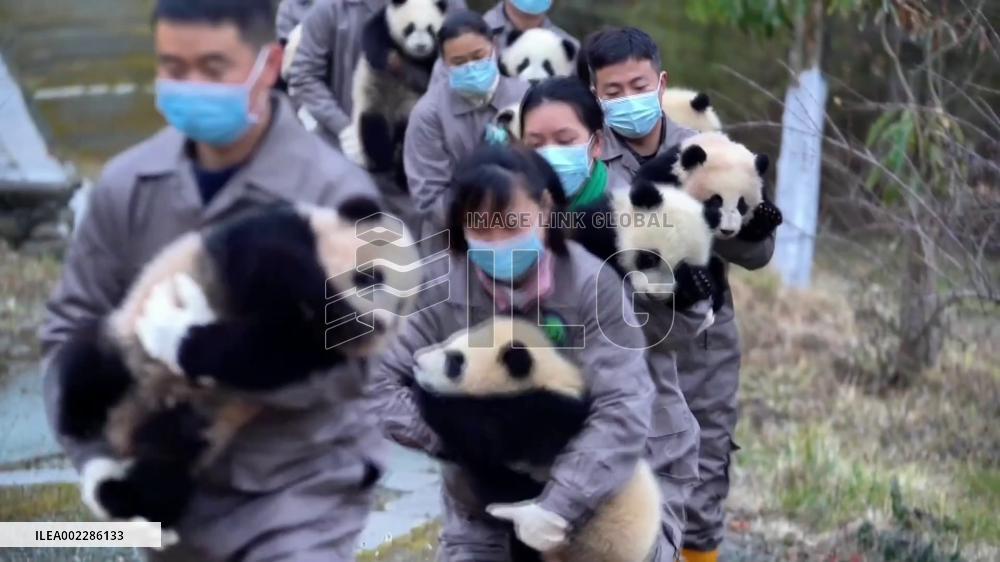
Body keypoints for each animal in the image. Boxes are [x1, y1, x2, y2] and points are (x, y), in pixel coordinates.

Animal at [413, 317, 662, 562]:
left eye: (455, 362)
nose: (416, 361)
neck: (547, 374)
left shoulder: (549, 419)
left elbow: (485, 430)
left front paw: (425, 395)